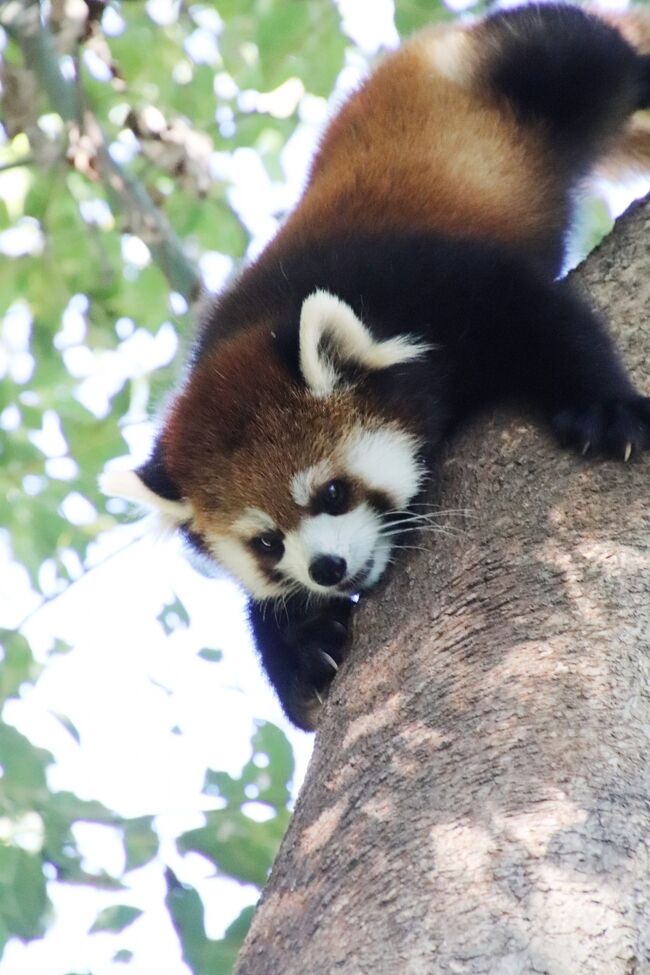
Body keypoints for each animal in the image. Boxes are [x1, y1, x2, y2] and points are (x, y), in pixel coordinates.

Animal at [101, 1, 648, 732]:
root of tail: (427, 45)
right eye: (267, 543)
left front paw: (604, 409)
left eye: (332, 492)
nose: (328, 568)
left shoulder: (424, 279)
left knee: (597, 61)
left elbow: (538, 315)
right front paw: (300, 656)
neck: (258, 320)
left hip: (521, 64)